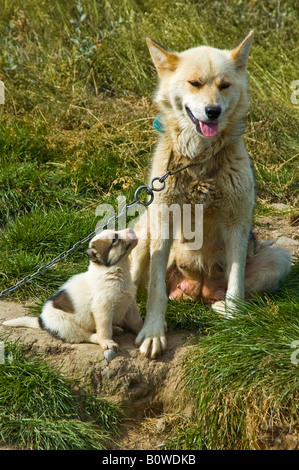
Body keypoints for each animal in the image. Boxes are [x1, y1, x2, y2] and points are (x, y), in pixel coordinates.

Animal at [2, 228, 143, 348]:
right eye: (114, 239)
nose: (130, 229)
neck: (115, 272)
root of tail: (41, 321)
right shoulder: (102, 309)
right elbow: (104, 329)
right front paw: (107, 342)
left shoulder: (130, 304)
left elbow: (137, 321)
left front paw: (144, 333)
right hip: (67, 326)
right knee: (87, 335)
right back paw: (101, 337)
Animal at [131, 31, 290, 358]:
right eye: (195, 83)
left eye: (224, 85)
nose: (213, 112)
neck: (199, 161)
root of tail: (197, 290)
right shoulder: (162, 223)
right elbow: (155, 293)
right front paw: (153, 332)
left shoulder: (237, 224)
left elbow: (236, 283)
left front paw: (234, 318)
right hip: (142, 232)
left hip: (281, 257)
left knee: (235, 293)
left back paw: (222, 307)